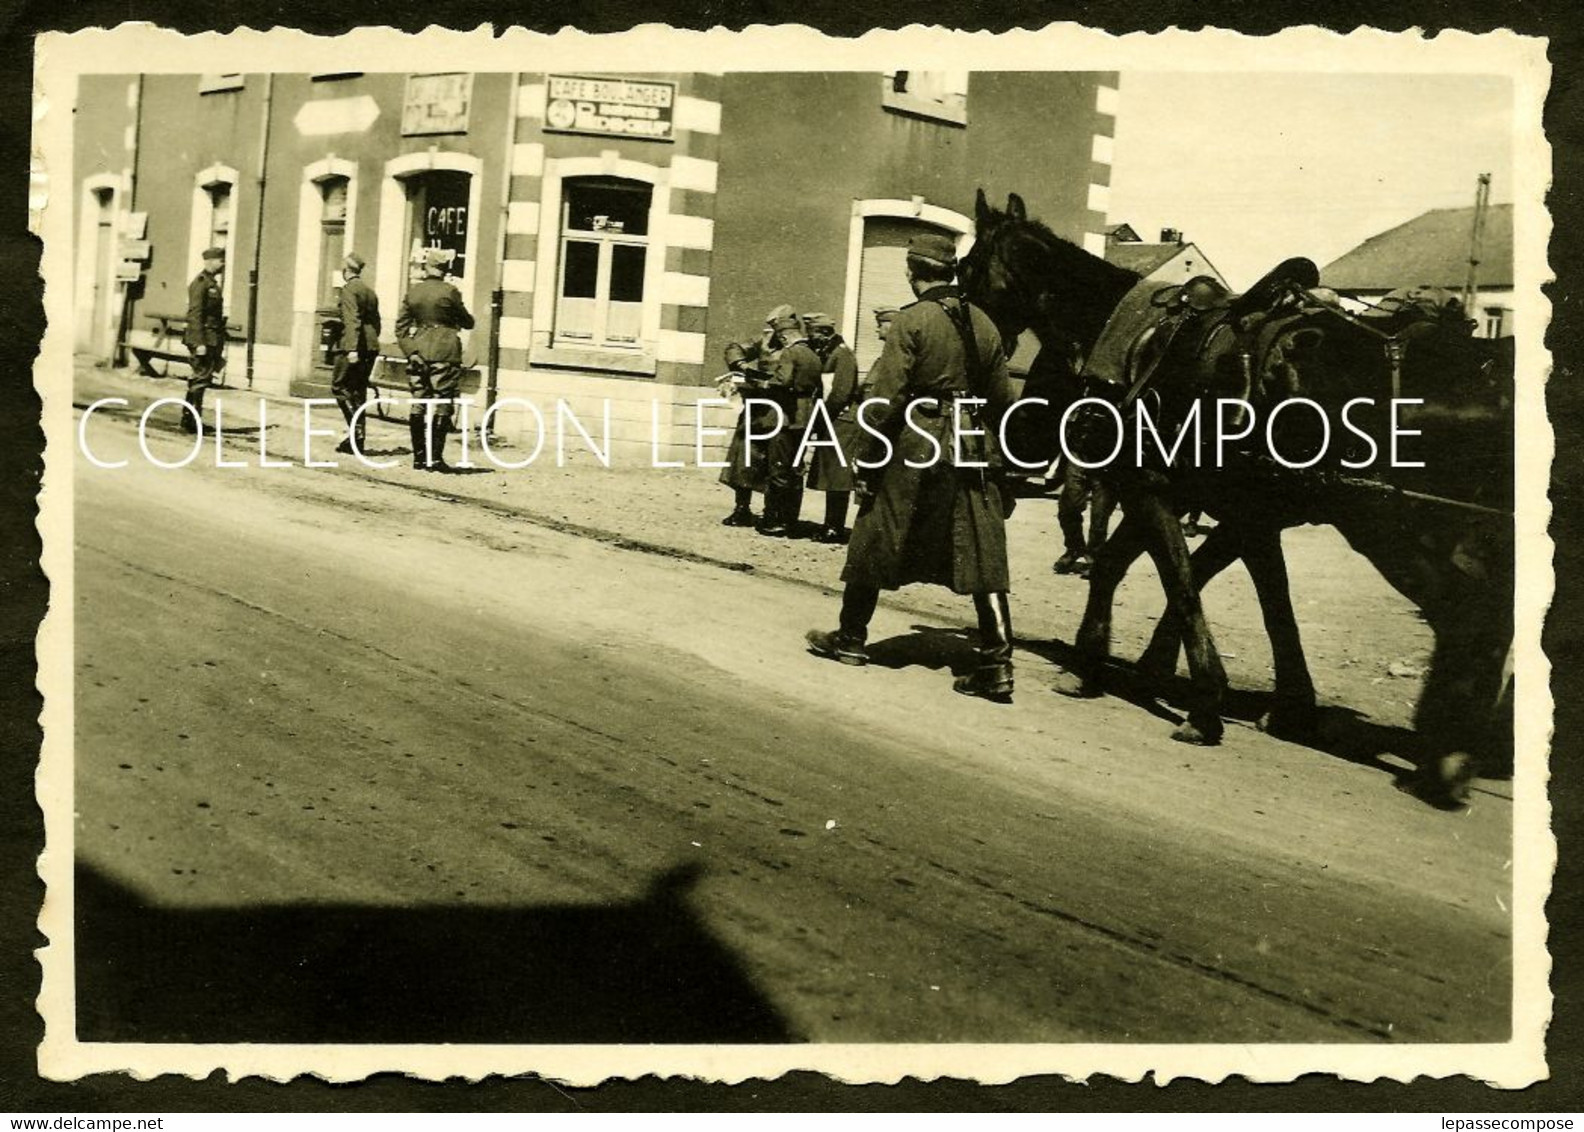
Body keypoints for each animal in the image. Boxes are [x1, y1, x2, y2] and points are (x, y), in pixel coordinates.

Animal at [956, 188, 1514, 807]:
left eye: (967, 266)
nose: (962, 322)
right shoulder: (1233, 510)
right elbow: (1262, 600)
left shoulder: (1155, 491)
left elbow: (1179, 580)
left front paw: (1202, 702)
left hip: (1394, 529)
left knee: (1471, 613)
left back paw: (1447, 758)